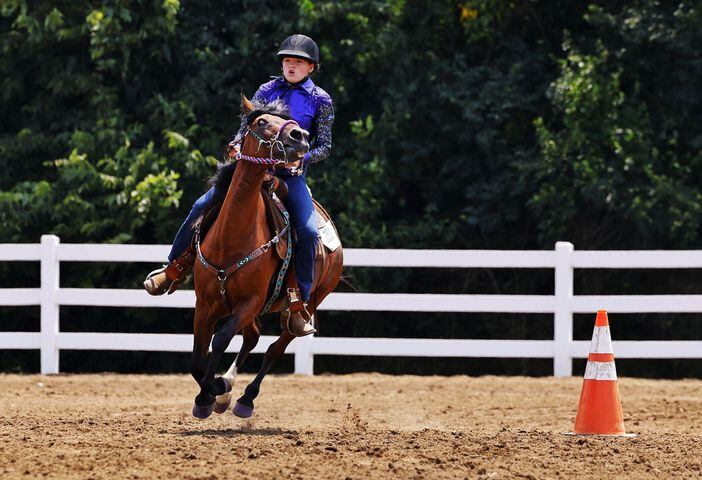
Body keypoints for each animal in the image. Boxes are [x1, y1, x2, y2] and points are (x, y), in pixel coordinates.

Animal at [191, 94, 346, 420]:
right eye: (262, 122)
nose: (299, 137)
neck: (232, 238)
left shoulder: (249, 302)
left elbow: (220, 339)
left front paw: (212, 392)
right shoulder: (205, 304)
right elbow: (198, 357)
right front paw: (212, 393)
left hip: (309, 302)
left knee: (277, 345)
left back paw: (244, 399)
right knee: (253, 336)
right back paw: (228, 386)